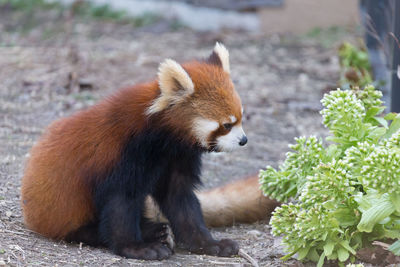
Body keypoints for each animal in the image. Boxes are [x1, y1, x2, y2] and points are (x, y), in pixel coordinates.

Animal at [21, 43, 278, 260]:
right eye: (226, 125)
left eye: (242, 118)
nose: (243, 140)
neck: (163, 138)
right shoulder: (123, 155)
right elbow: (120, 203)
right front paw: (135, 248)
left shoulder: (178, 157)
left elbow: (180, 200)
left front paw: (208, 243)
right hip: (60, 210)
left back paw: (156, 230)